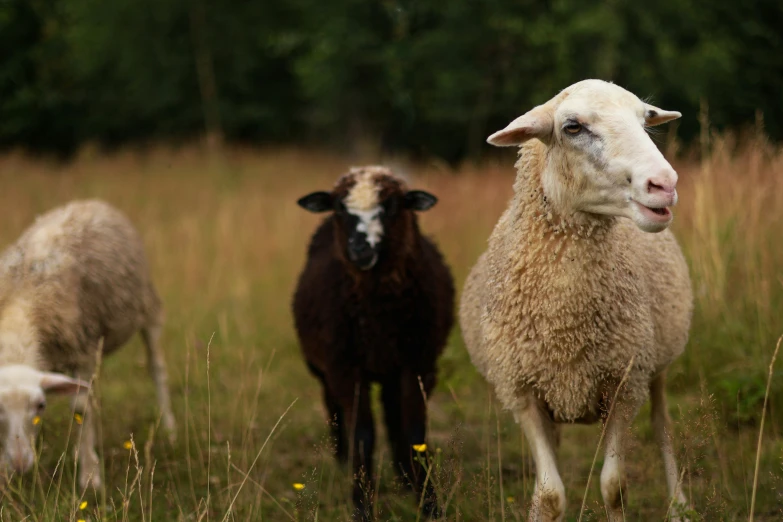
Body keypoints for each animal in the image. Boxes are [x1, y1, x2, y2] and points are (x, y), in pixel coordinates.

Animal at [0, 199, 175, 488]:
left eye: (41, 405)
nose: (20, 464)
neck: (20, 307)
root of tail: (88, 202)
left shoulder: (82, 352)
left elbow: (80, 409)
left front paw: (90, 476)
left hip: (148, 307)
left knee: (157, 368)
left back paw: (170, 427)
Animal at [292, 166, 454, 516]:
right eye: (340, 208)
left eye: (392, 206)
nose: (360, 250)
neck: (377, 312)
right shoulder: (344, 366)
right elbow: (362, 434)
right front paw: (362, 504)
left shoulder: (418, 363)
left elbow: (413, 430)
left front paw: (428, 501)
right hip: (324, 367)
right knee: (333, 408)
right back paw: (343, 463)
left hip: (393, 367)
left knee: (394, 414)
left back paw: (404, 476)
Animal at [462, 79, 696, 516]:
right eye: (572, 127)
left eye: (645, 120)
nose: (664, 184)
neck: (565, 324)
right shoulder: (522, 393)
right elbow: (549, 494)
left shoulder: (624, 385)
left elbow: (614, 486)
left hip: (655, 366)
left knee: (663, 426)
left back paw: (679, 507)